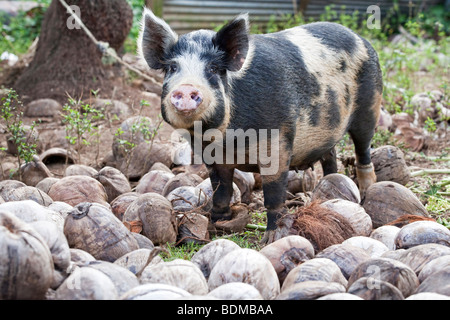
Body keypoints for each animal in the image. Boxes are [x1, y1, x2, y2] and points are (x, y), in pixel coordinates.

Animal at [138, 8, 384, 242]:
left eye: (213, 69)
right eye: (172, 68)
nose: (187, 88)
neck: (228, 142)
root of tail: (361, 38)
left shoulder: (278, 141)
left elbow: (273, 194)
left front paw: (272, 237)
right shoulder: (211, 156)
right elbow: (221, 190)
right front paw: (217, 223)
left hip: (370, 106)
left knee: (363, 149)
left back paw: (366, 190)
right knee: (330, 155)